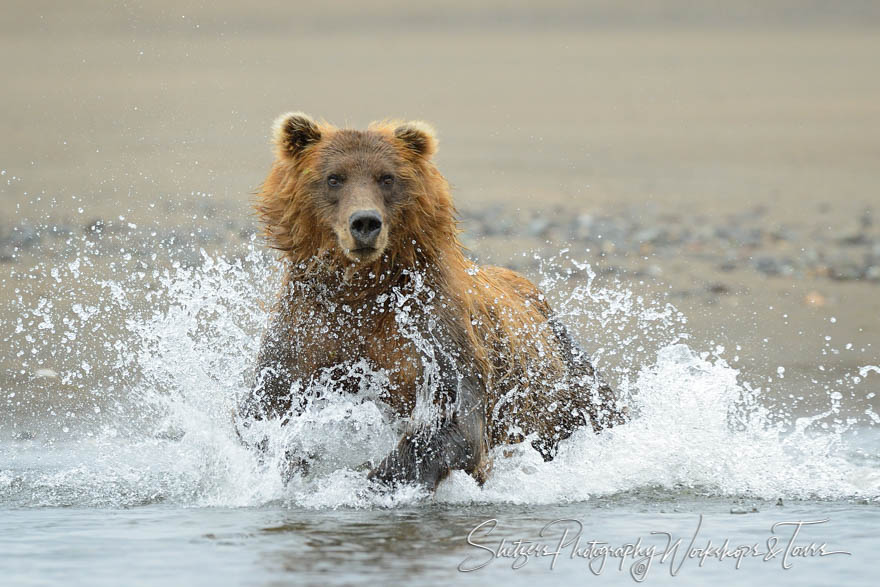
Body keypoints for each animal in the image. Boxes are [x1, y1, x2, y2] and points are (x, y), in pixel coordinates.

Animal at [235, 112, 624, 490]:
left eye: (387, 178)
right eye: (334, 178)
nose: (365, 223)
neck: (361, 289)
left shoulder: (429, 321)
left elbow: (453, 421)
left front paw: (367, 478)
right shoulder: (308, 326)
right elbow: (265, 411)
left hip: (568, 378)